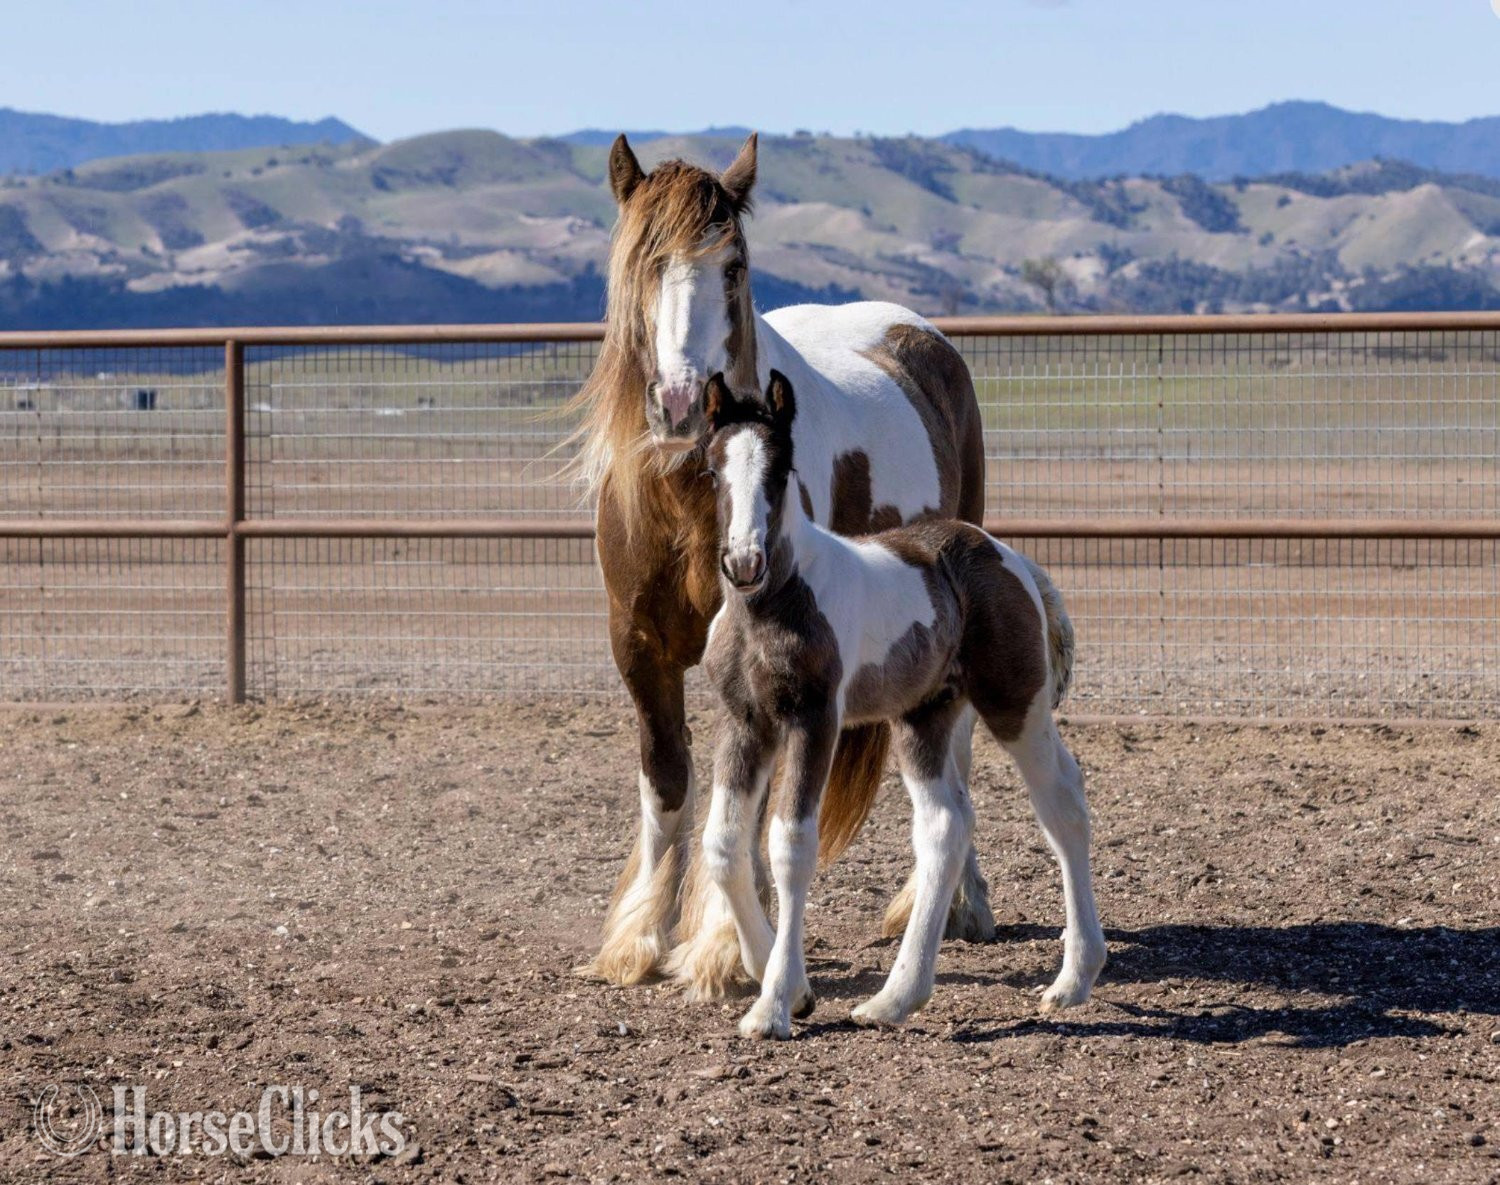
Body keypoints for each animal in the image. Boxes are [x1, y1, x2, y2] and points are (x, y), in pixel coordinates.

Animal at [575, 132, 995, 997]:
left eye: (732, 265)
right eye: (643, 261)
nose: (679, 403)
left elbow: (747, 805)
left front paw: (722, 948)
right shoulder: (638, 649)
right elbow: (668, 783)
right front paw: (639, 939)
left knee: (959, 752)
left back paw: (954, 904)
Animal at [699, 371, 1106, 1038]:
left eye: (782, 471)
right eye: (711, 470)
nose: (743, 563)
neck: (774, 605)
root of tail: (1008, 556)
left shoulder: (815, 720)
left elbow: (790, 846)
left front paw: (776, 1003)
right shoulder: (745, 722)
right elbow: (726, 845)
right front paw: (780, 981)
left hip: (1014, 704)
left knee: (1062, 803)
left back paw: (1072, 980)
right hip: (923, 718)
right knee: (944, 824)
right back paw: (896, 997)